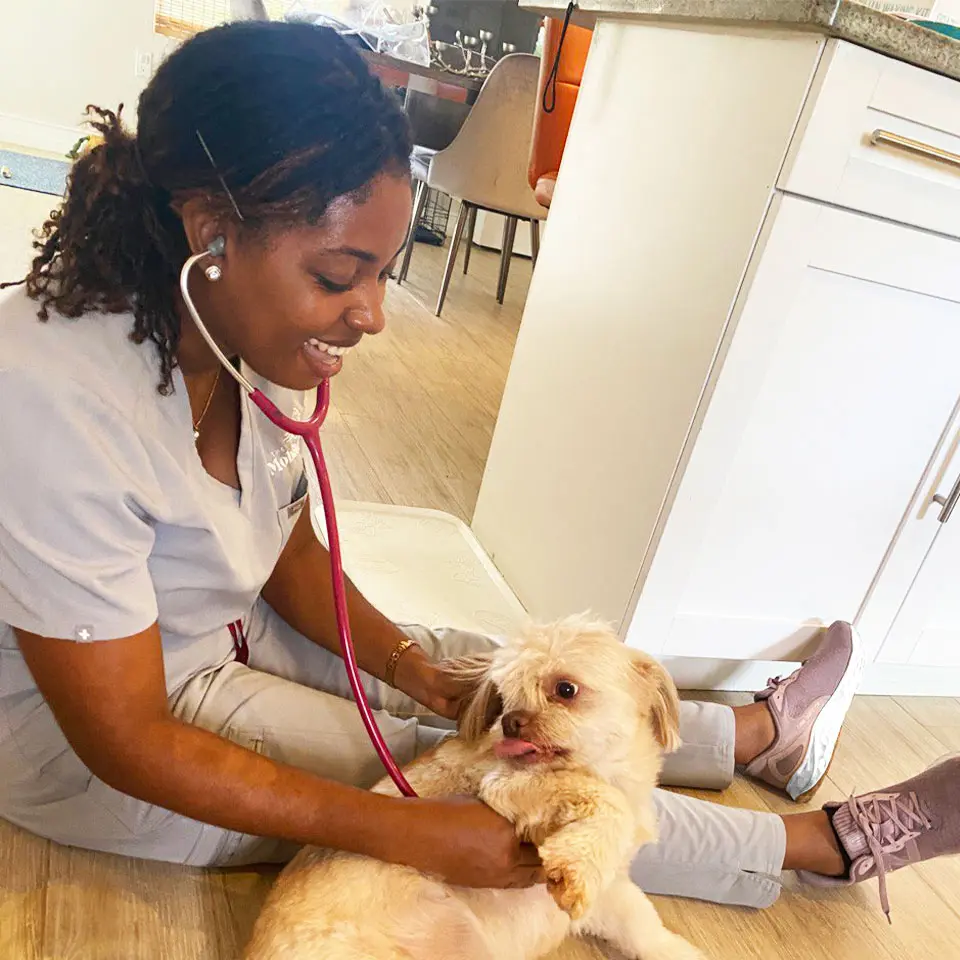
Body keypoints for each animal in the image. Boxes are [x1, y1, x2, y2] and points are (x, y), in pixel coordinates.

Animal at [244, 620, 708, 960]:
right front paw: (580, 860)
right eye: (504, 697)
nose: (512, 722)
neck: (612, 770)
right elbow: (601, 801)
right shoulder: (505, 784)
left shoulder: (613, 895)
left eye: (566, 689)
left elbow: (644, 927)